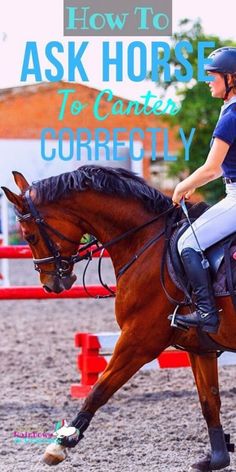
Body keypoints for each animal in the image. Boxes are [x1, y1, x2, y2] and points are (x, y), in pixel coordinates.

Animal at [3, 165, 236, 468]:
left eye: (29, 236)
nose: (50, 284)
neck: (148, 243)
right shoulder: (200, 348)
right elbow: (210, 401)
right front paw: (218, 458)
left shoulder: (138, 341)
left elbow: (99, 390)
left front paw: (62, 443)